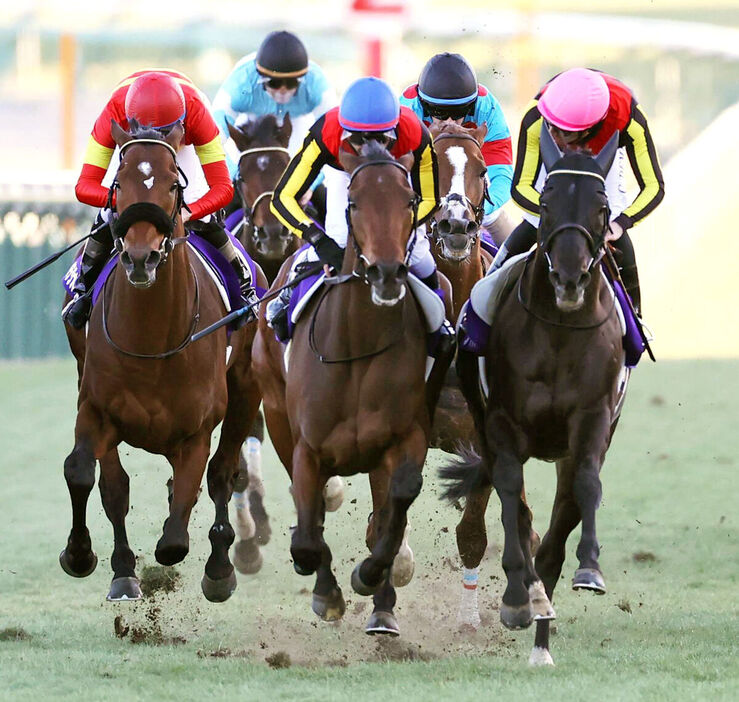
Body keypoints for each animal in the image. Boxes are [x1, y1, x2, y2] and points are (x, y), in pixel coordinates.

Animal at [62, 121, 266, 604]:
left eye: (174, 184)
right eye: (118, 184)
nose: (142, 256)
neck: (151, 340)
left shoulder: (197, 430)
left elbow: (177, 533)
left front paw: (205, 562)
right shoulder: (95, 408)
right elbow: (89, 476)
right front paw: (89, 559)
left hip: (246, 388)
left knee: (222, 474)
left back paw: (220, 568)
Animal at [251, 143, 454, 640]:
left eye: (408, 200)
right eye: (355, 202)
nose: (387, 272)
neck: (359, 345)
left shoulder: (405, 436)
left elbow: (395, 510)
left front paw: (370, 574)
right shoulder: (306, 446)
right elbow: (308, 533)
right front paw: (326, 592)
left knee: (385, 511)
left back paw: (383, 609)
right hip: (275, 408)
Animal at [442, 128, 628, 664]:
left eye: (601, 205)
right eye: (544, 202)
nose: (568, 277)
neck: (560, 332)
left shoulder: (592, 420)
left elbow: (583, 490)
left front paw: (588, 569)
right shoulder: (499, 424)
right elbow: (510, 500)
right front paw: (514, 596)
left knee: (563, 513)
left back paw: (542, 628)